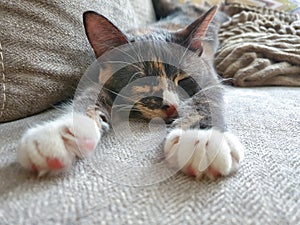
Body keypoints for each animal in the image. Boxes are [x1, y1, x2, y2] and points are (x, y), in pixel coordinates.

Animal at [17, 0, 245, 179]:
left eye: (183, 79)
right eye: (139, 81)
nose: (171, 106)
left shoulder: (209, 77)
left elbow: (205, 100)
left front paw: (203, 137)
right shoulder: (97, 78)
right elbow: (88, 96)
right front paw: (60, 132)